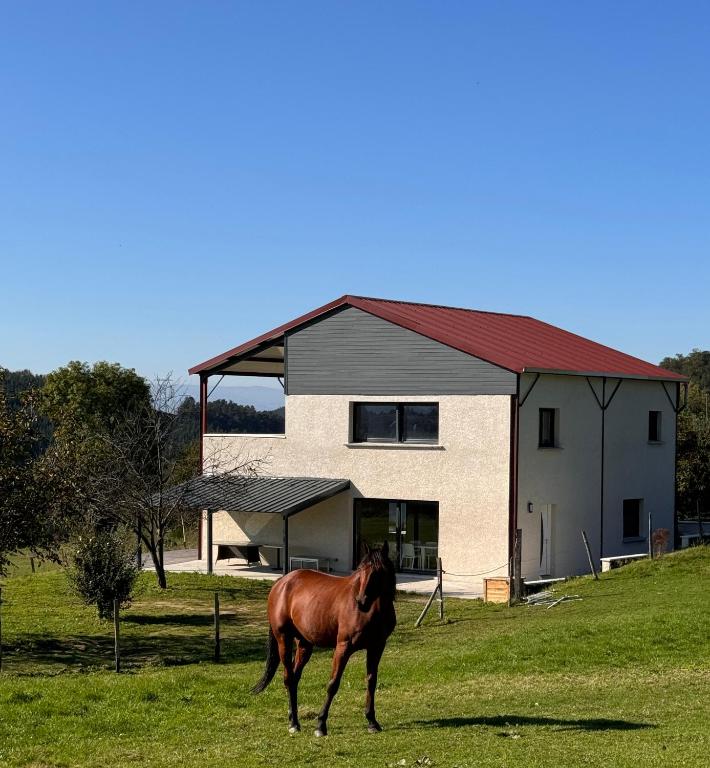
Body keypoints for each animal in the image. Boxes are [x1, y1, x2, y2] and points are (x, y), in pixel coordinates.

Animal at [252, 542, 397, 737]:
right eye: (361, 570)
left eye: (379, 571)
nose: (361, 601)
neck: (372, 612)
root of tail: (281, 583)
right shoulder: (343, 647)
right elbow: (333, 684)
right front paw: (320, 724)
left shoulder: (377, 646)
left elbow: (371, 681)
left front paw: (372, 721)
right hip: (283, 639)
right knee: (289, 677)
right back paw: (293, 724)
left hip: (304, 644)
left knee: (294, 678)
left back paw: (294, 719)